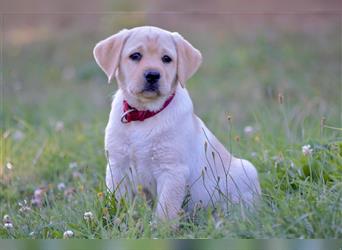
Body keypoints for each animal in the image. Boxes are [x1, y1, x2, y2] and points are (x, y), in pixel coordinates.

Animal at [93, 25, 260, 221]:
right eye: (135, 55)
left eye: (167, 59)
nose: (152, 75)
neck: (145, 114)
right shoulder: (117, 166)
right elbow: (119, 202)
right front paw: (120, 222)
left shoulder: (172, 171)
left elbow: (165, 210)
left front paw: (160, 228)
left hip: (246, 171)